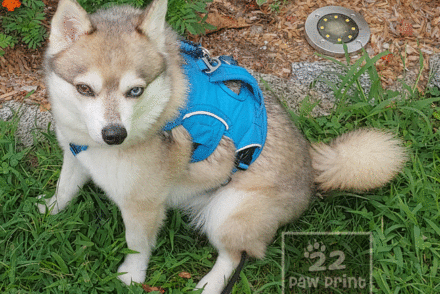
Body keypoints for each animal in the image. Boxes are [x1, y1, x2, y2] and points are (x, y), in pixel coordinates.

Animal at [39, 0, 408, 292]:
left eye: (135, 91)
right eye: (84, 88)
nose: (114, 134)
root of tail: (313, 177)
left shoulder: (143, 205)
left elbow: (136, 246)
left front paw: (131, 277)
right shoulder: (75, 155)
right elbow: (65, 189)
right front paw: (47, 211)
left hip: (227, 211)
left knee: (235, 255)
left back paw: (210, 284)